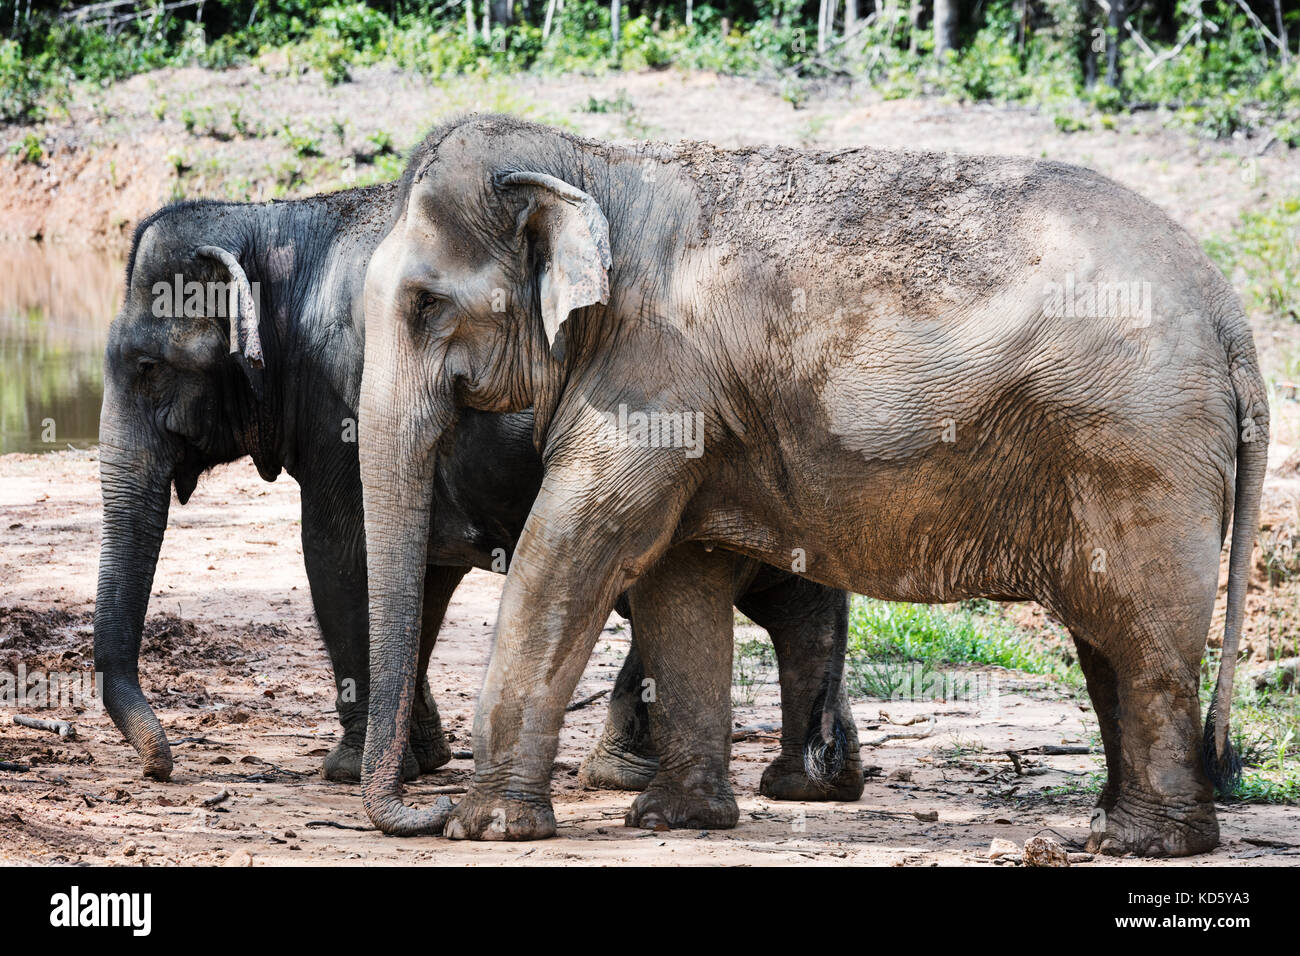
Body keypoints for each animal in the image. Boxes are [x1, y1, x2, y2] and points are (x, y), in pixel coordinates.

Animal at [93, 189, 864, 810]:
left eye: (147, 367)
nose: (162, 766)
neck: (273, 223)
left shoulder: (342, 404)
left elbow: (339, 555)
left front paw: (353, 769)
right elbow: (419, 575)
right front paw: (420, 757)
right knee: (793, 599)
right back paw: (814, 781)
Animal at [357, 114, 1267, 856]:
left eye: (427, 305)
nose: (422, 808)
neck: (592, 161)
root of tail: (1232, 316)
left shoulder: (653, 380)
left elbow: (574, 548)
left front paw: (486, 827)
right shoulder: (691, 406)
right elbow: (678, 579)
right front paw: (677, 820)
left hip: (1138, 445)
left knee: (1140, 634)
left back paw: (1148, 843)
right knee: (1106, 632)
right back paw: (1116, 828)